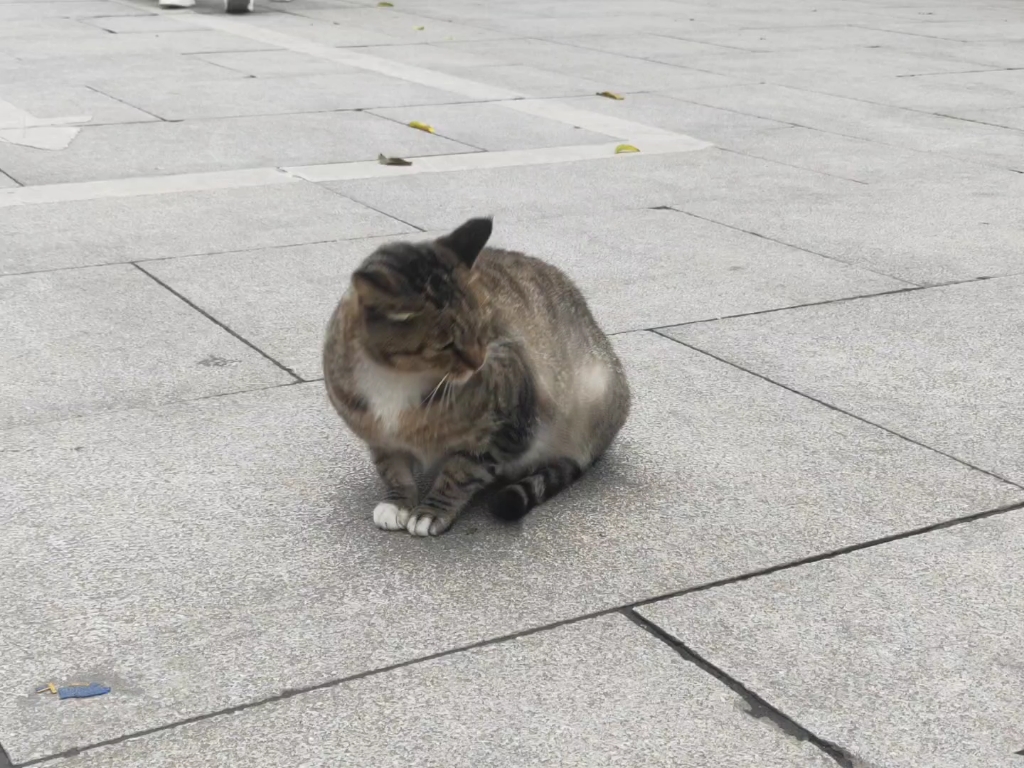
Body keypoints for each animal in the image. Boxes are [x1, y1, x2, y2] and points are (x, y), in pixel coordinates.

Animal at [319, 217, 626, 536]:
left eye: (483, 327)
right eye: (446, 344)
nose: (479, 363)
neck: (397, 378)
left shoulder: (504, 428)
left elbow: (461, 473)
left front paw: (431, 510)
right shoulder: (377, 435)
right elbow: (392, 469)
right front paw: (398, 502)